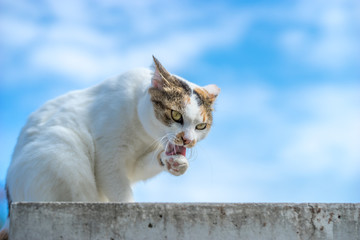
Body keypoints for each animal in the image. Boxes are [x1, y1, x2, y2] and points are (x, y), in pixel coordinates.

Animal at [0, 56, 219, 238]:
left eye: (201, 126)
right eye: (175, 115)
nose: (187, 140)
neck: (143, 133)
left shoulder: (135, 164)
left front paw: (175, 163)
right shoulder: (109, 158)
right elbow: (120, 193)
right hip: (62, 149)